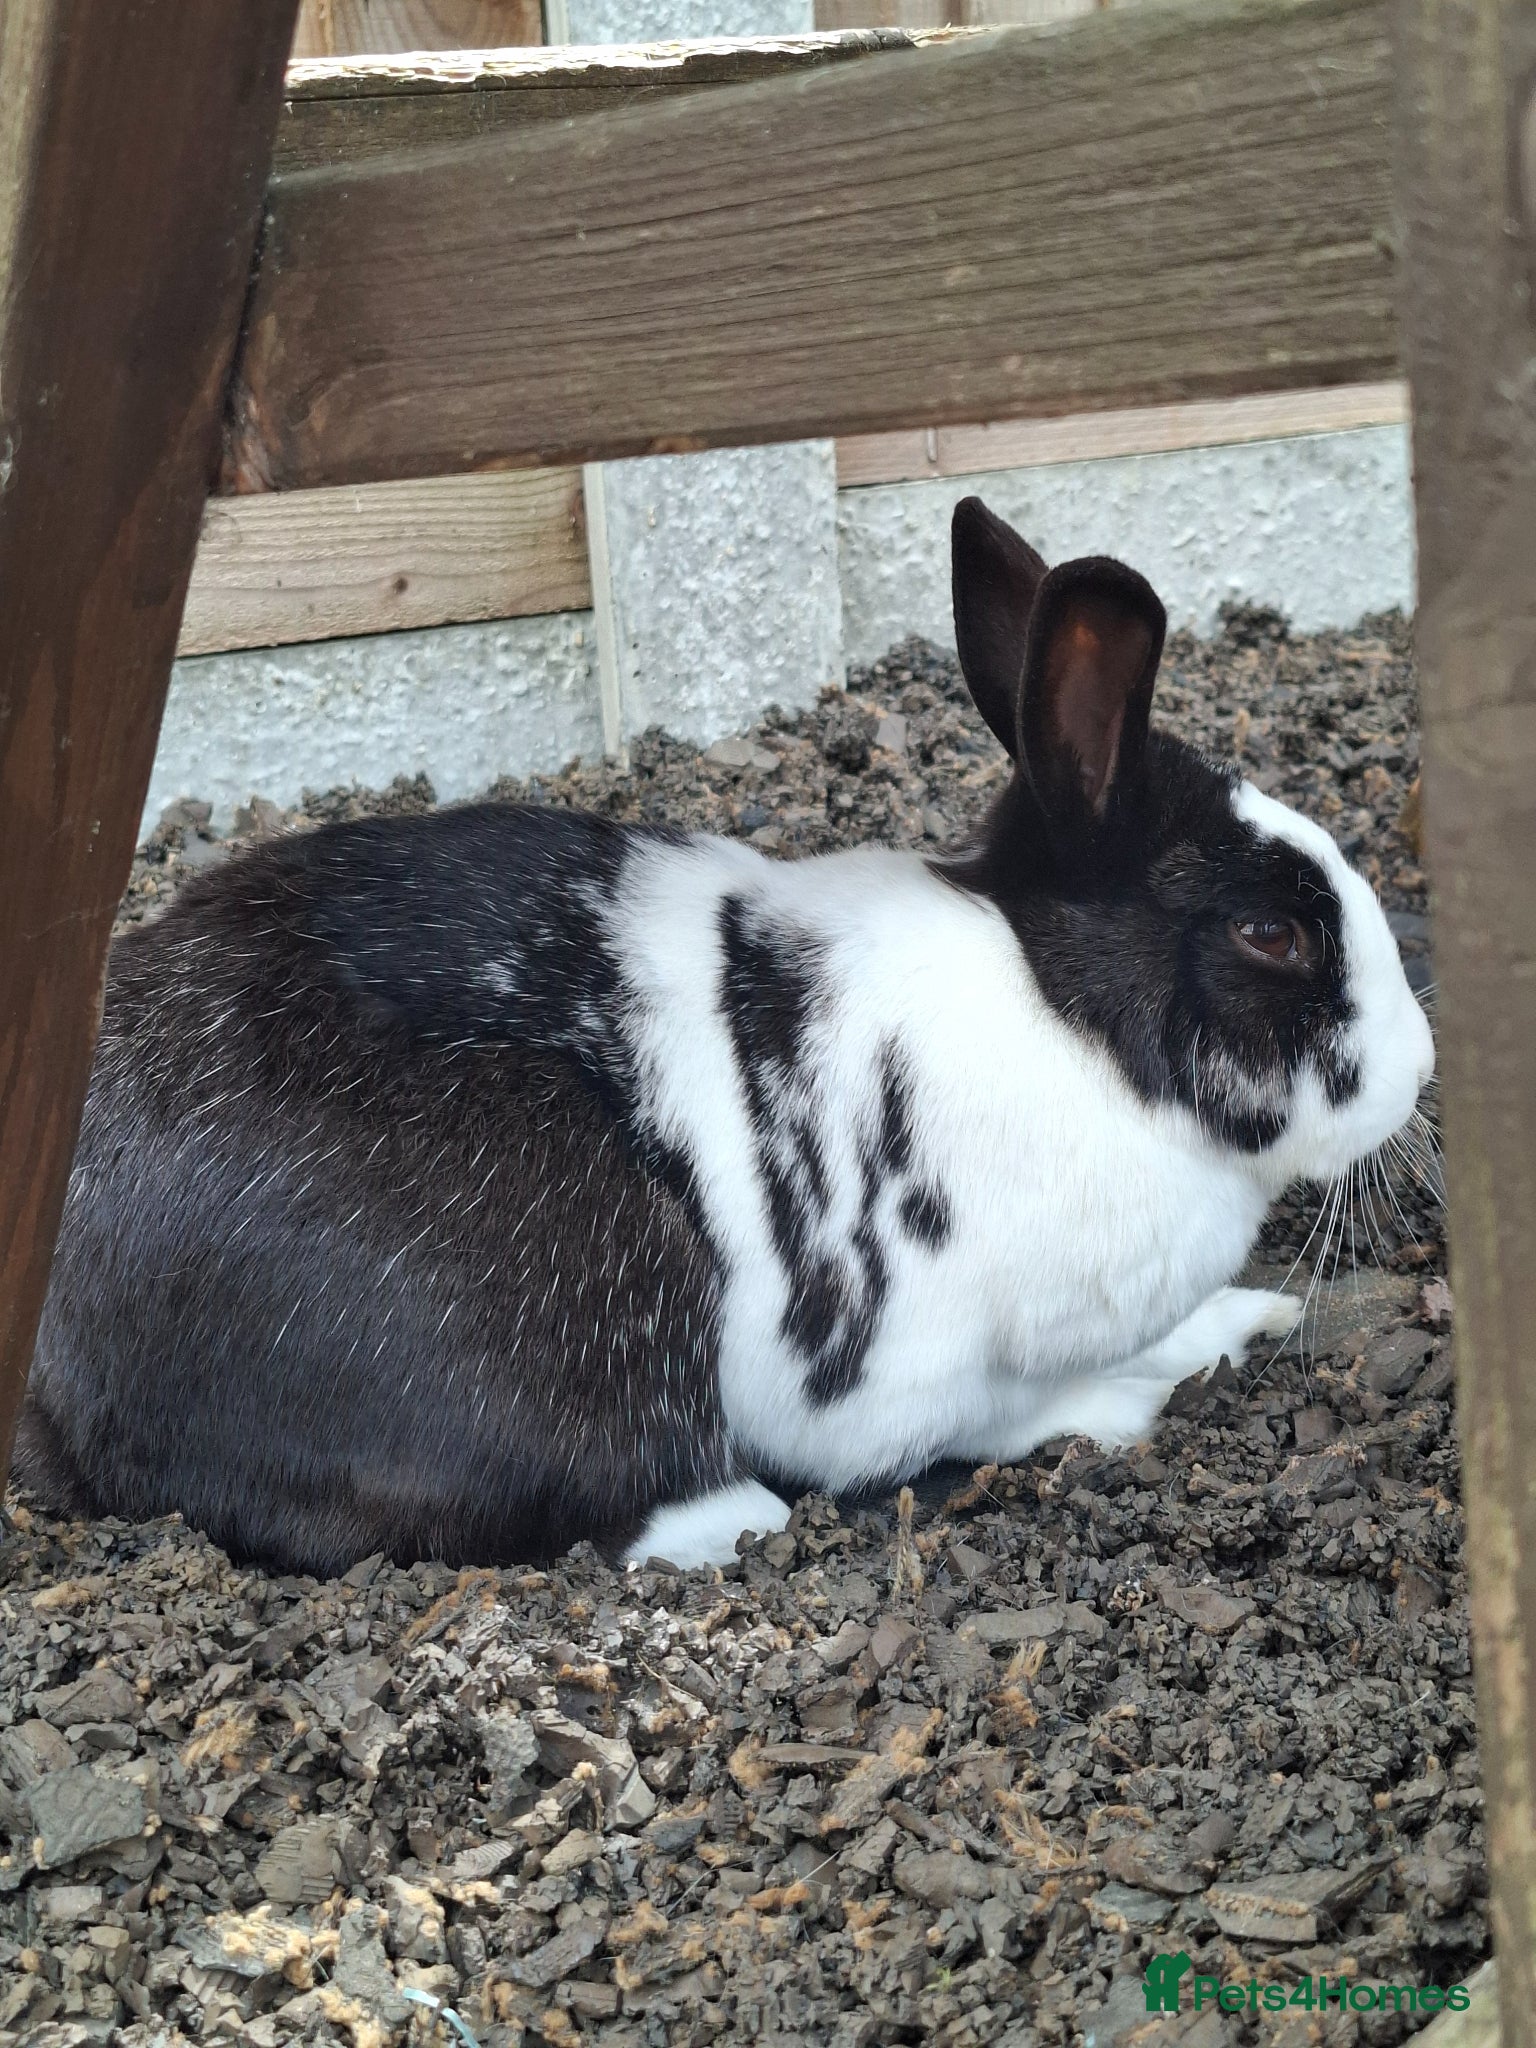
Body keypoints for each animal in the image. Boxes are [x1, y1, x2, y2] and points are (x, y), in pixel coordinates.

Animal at [17, 498, 1435, 1577]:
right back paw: (726, 1518)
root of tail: (61, 1363)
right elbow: (1008, 1413)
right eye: (1271, 934)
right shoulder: (904, 1372)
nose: (1420, 1066)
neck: (1062, 1020)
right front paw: (1127, 1404)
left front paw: (1243, 1320)